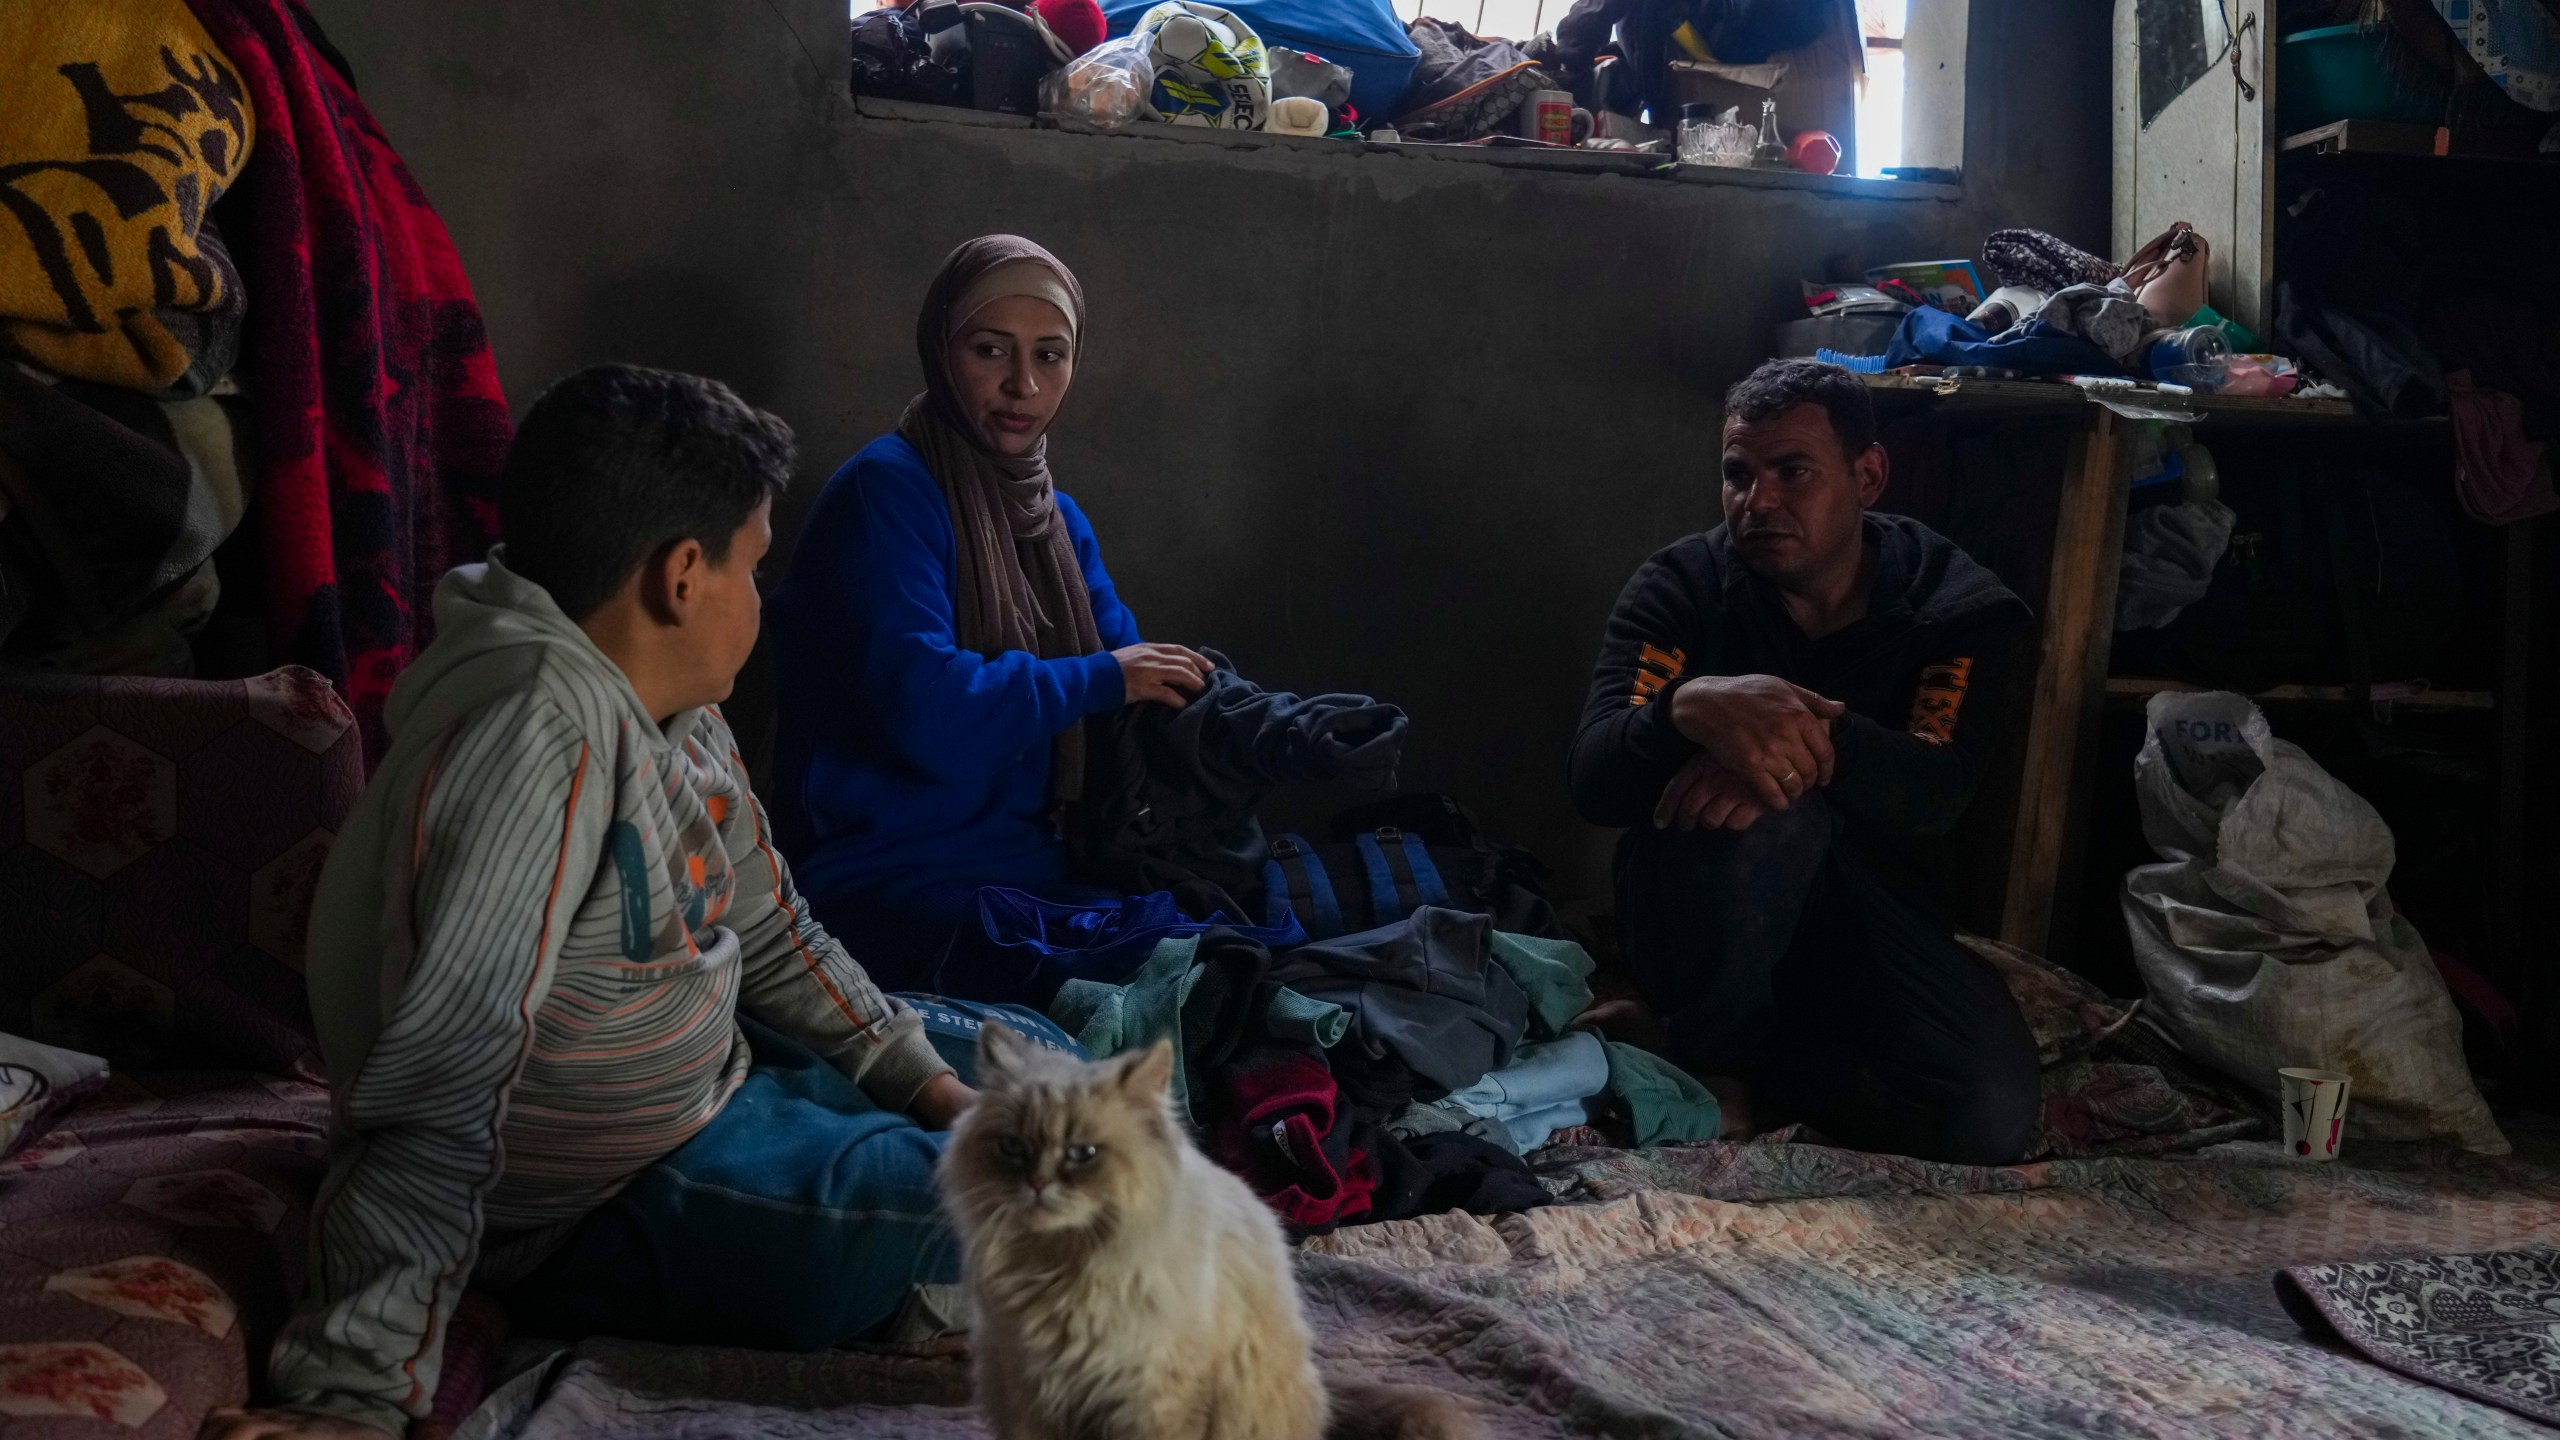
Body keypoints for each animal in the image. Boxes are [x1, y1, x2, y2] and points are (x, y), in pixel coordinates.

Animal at [942, 1019, 1484, 1434]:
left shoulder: (1153, 1397)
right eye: (1012, 1148)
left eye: (1083, 1154)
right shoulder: (1032, 1392)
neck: (1065, 1266)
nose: (1035, 1185)